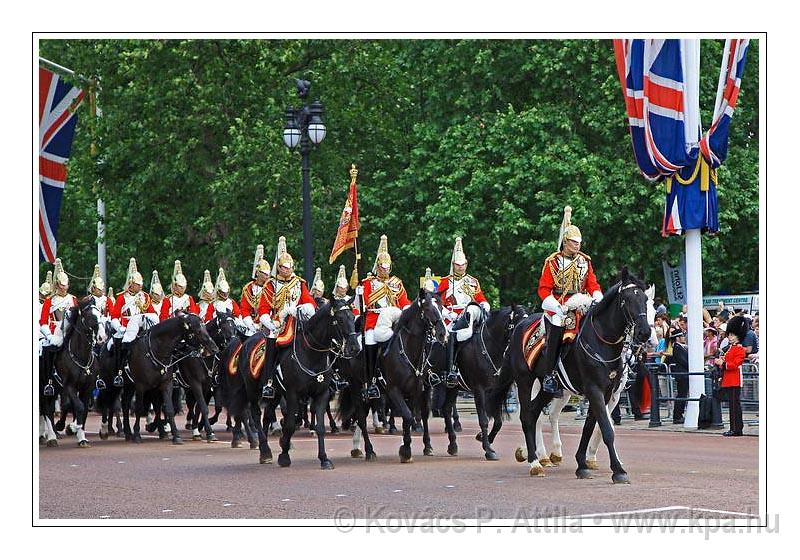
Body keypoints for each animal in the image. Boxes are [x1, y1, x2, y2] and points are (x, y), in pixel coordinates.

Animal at [121, 312, 219, 444]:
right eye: (198, 330)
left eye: (206, 329)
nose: (214, 349)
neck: (157, 350)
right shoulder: (141, 386)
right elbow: (139, 408)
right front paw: (137, 434)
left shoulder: (167, 384)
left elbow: (171, 409)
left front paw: (177, 435)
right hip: (129, 385)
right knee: (126, 404)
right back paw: (128, 431)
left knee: (157, 406)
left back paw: (161, 430)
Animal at [378, 288, 446, 464]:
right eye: (427, 308)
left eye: (441, 307)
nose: (443, 334)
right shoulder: (394, 389)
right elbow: (407, 416)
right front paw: (406, 450)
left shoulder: (416, 389)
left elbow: (414, 416)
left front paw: (410, 446)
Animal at [488, 270, 648, 484]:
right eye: (627, 299)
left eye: (645, 299)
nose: (645, 333)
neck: (601, 341)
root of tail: (519, 328)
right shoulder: (594, 390)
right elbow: (606, 429)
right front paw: (618, 471)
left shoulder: (607, 392)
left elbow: (591, 426)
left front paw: (583, 464)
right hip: (525, 381)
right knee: (527, 416)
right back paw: (535, 462)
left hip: (549, 389)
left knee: (535, 413)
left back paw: (538, 455)